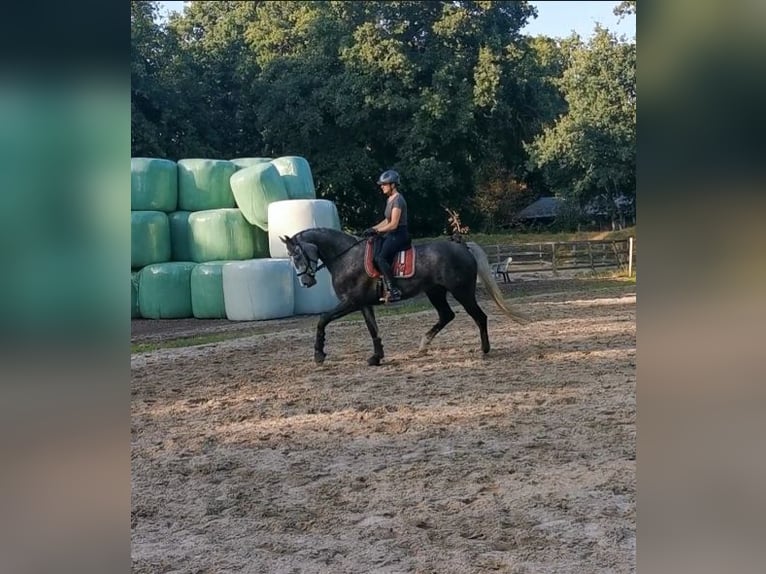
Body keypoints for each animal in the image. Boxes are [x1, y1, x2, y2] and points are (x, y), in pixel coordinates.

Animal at [280, 228, 528, 366]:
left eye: (298, 255)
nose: (305, 282)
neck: (346, 257)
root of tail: (461, 246)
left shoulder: (350, 302)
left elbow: (322, 319)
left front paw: (318, 354)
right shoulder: (363, 304)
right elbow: (373, 329)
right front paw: (376, 357)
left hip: (462, 292)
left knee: (479, 316)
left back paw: (484, 350)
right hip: (435, 292)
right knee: (447, 315)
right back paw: (423, 345)